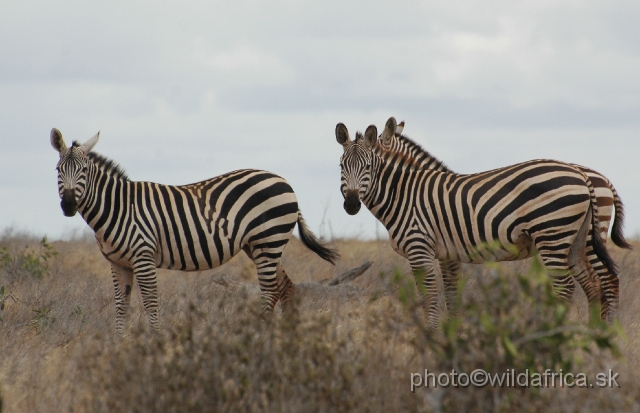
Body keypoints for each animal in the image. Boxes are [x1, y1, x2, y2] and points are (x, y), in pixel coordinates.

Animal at [52, 127, 340, 334]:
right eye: (58, 169)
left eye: (84, 170)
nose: (68, 205)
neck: (120, 207)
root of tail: (284, 181)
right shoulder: (118, 263)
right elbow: (121, 306)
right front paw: (119, 346)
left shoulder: (143, 256)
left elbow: (151, 303)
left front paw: (155, 344)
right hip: (260, 246)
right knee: (285, 287)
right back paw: (286, 338)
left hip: (268, 240)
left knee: (270, 290)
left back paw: (260, 336)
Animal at [338, 117, 616, 326]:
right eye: (341, 166)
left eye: (367, 167)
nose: (351, 205)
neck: (404, 191)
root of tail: (582, 174)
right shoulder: (447, 255)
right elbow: (451, 296)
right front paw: (450, 336)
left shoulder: (419, 249)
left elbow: (430, 298)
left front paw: (430, 337)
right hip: (577, 240)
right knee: (595, 285)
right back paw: (594, 335)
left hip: (553, 235)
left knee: (570, 288)